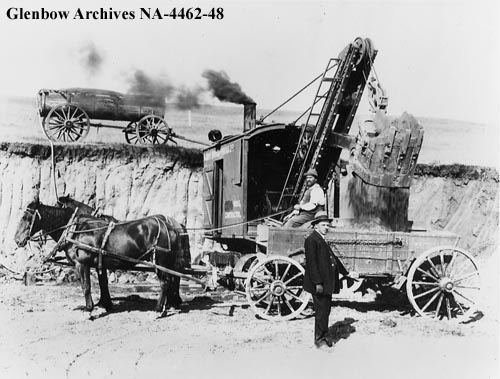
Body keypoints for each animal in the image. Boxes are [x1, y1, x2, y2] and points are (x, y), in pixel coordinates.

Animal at [15, 199, 191, 314]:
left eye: (25, 217)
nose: (17, 240)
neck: (77, 230)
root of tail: (172, 227)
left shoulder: (82, 264)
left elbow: (86, 286)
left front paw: (89, 310)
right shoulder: (100, 264)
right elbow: (102, 283)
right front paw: (104, 304)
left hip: (160, 261)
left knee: (165, 283)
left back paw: (159, 310)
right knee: (170, 281)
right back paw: (169, 304)